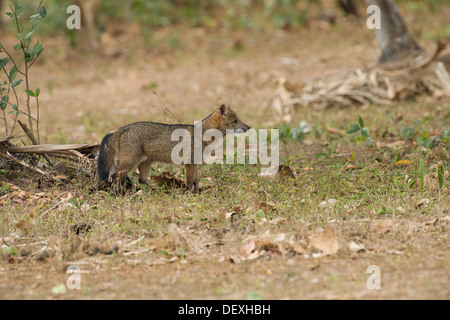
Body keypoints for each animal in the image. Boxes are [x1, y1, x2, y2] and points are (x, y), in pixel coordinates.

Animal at [97, 104, 250, 190]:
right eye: (235, 121)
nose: (249, 127)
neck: (203, 134)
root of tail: (122, 128)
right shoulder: (190, 164)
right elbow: (190, 183)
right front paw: (190, 194)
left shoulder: (195, 165)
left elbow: (196, 182)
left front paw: (198, 192)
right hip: (130, 163)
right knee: (116, 175)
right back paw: (119, 192)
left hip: (145, 162)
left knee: (142, 180)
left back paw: (155, 190)